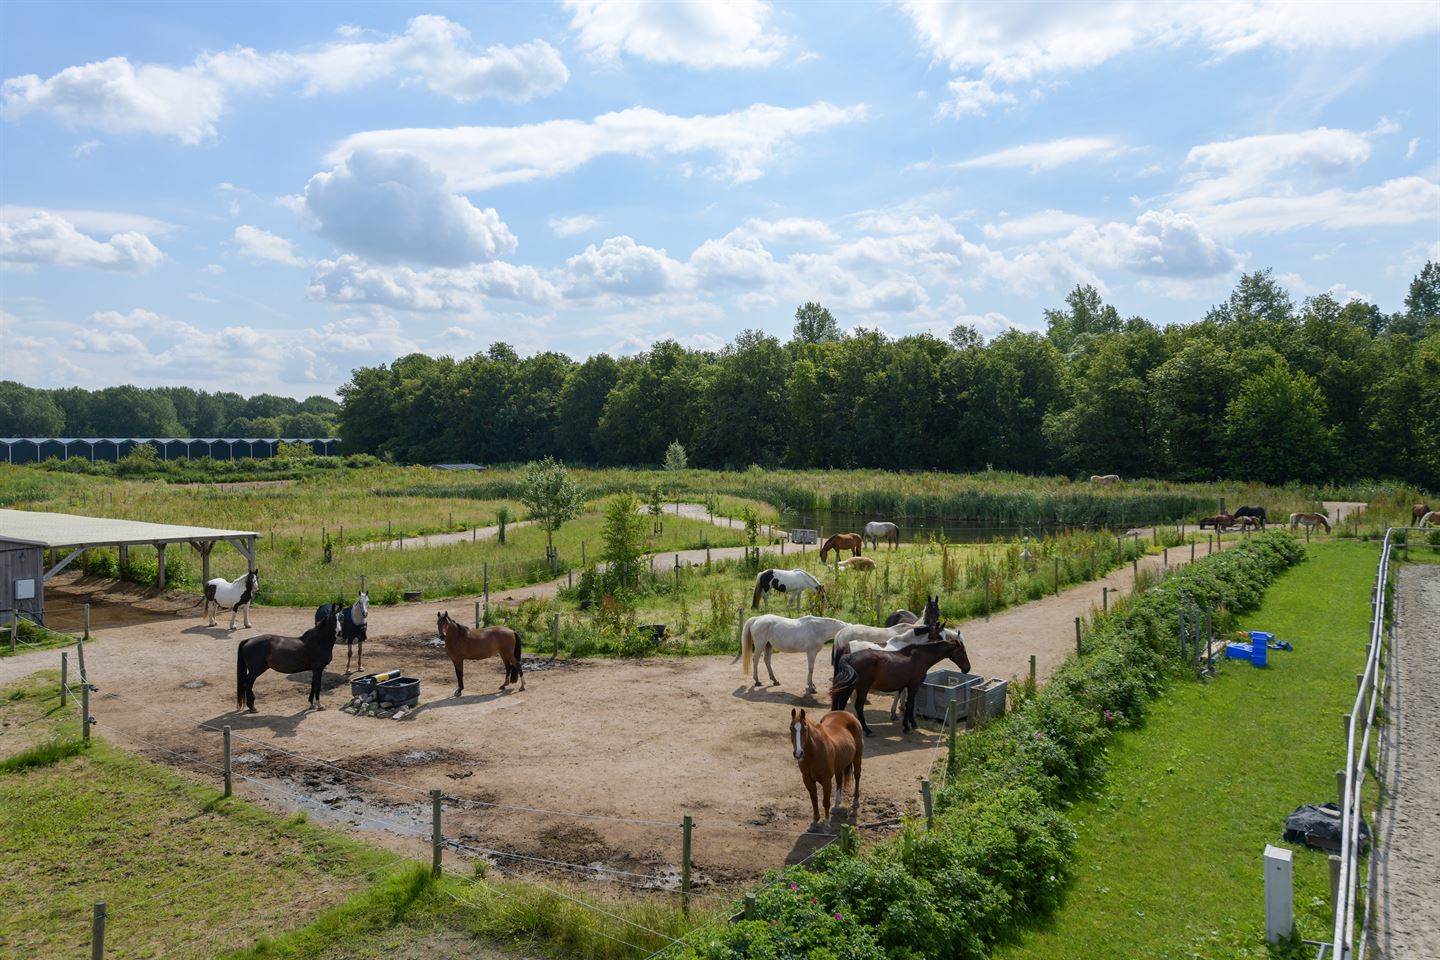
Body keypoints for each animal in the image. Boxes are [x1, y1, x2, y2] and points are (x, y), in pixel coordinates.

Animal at [794, 705, 858, 834]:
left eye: (804, 729)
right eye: (791, 728)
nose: (798, 753)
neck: (814, 753)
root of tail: (847, 714)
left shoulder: (826, 780)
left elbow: (825, 802)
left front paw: (827, 826)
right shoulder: (807, 780)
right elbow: (814, 800)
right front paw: (814, 822)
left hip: (857, 758)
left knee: (858, 776)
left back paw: (855, 802)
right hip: (839, 765)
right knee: (839, 781)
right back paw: (837, 806)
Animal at [823, 630, 967, 736]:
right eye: (961, 652)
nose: (967, 668)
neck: (920, 657)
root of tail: (848, 656)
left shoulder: (903, 685)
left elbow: (905, 702)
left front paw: (907, 722)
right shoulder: (914, 685)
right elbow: (910, 704)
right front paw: (908, 726)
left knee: (841, 704)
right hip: (861, 688)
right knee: (857, 706)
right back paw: (867, 730)